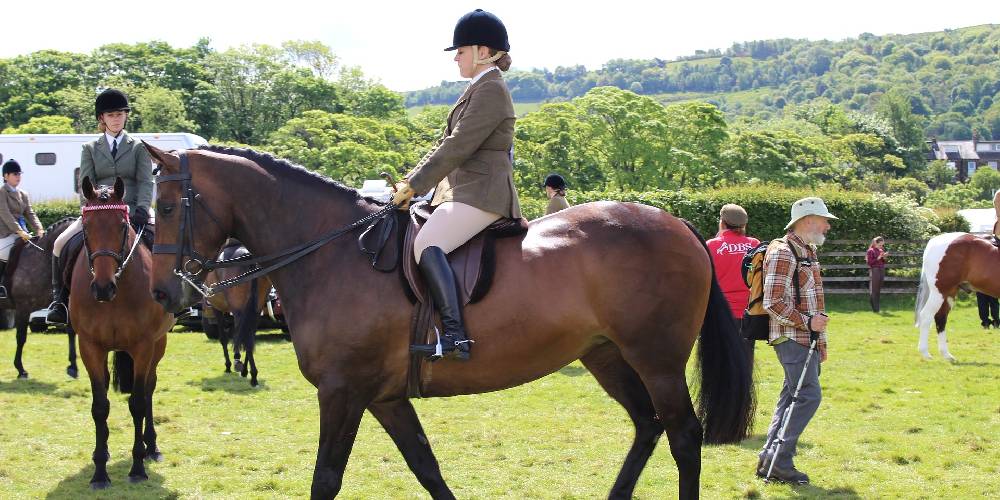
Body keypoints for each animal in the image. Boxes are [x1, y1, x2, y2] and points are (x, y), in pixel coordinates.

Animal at [5, 217, 80, 379]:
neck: (42, 257)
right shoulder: (23, 307)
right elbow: (21, 337)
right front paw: (21, 370)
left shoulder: (65, 306)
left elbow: (71, 331)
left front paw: (73, 367)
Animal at [71, 176, 174, 489]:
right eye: (87, 226)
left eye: (121, 226)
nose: (103, 288)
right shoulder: (89, 347)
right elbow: (99, 406)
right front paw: (99, 472)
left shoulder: (143, 347)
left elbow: (138, 403)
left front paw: (137, 467)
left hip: (158, 344)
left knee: (149, 388)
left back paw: (152, 448)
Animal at [203, 240, 272, 387]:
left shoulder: (218, 309)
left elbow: (224, 338)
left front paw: (229, 365)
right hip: (255, 310)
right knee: (248, 338)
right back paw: (247, 371)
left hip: (239, 311)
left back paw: (252, 375)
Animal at [915, 232, 999, 361]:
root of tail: (934, 241)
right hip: (939, 292)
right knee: (926, 316)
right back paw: (926, 353)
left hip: (949, 293)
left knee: (940, 318)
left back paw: (947, 355)